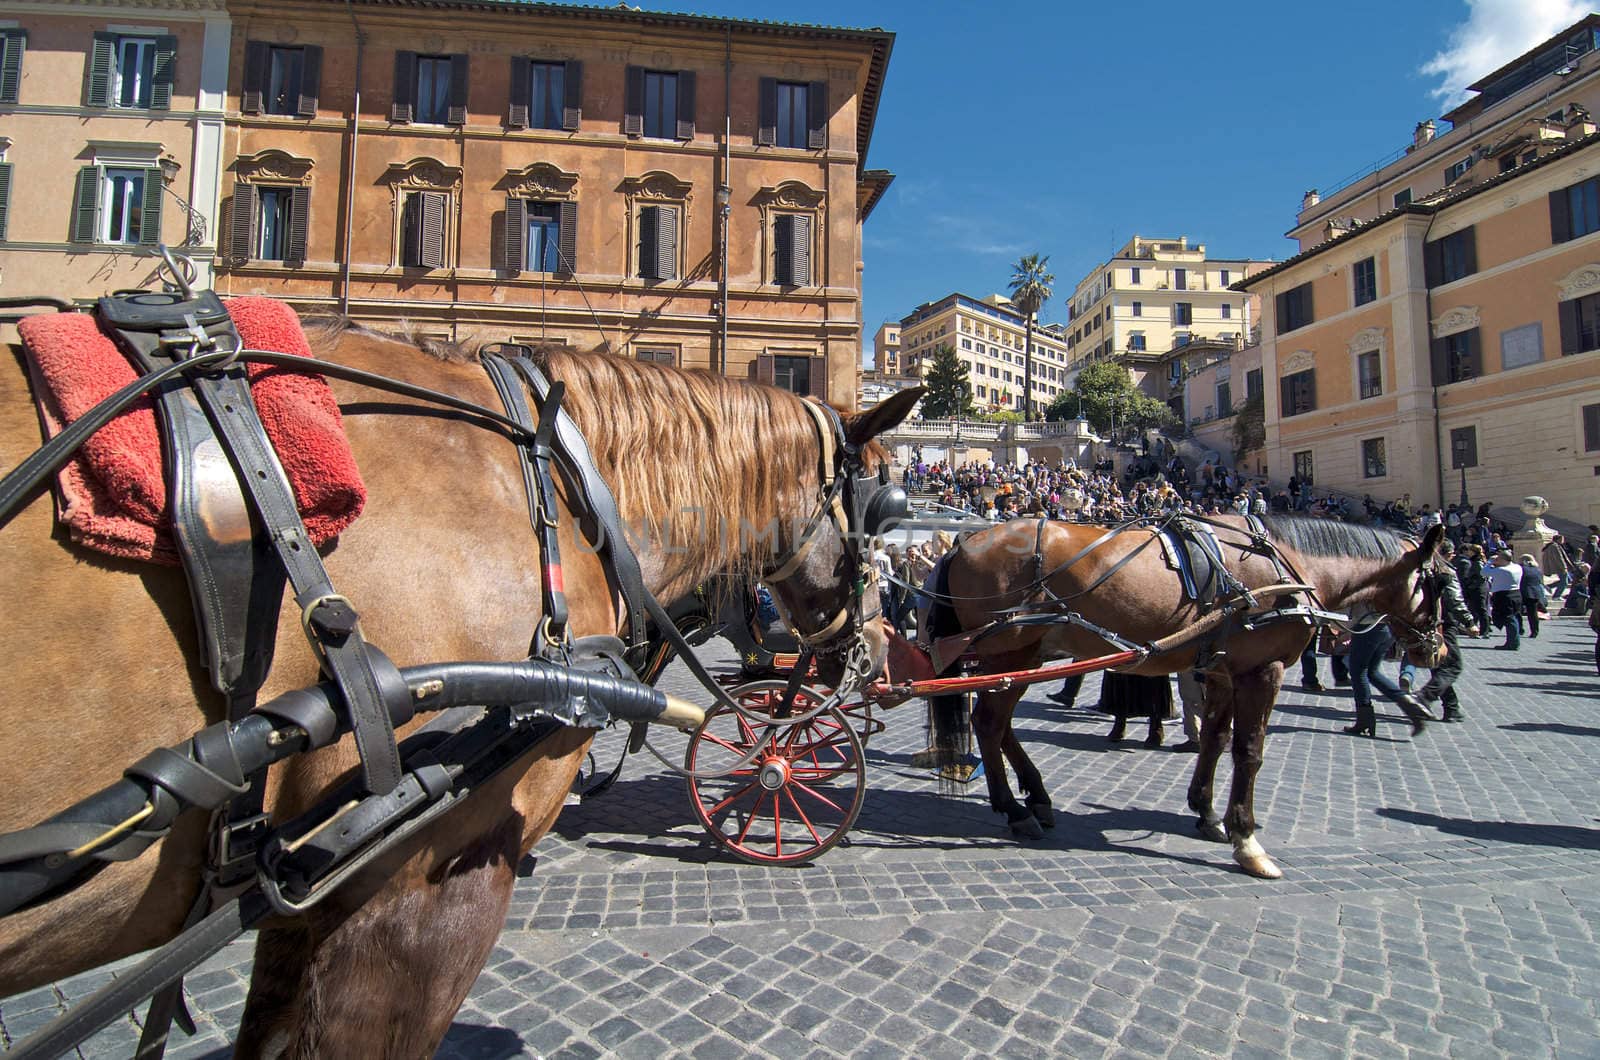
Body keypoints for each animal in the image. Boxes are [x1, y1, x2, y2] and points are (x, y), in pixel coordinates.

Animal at [940, 515, 1446, 877]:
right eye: (1441, 583)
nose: (1438, 648)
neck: (1284, 570)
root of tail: (965, 541)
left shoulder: (1221, 672)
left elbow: (1216, 741)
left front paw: (1207, 813)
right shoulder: (1263, 671)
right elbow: (1248, 751)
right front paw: (1247, 840)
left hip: (1022, 656)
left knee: (1000, 724)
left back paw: (1036, 799)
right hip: (1011, 651)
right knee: (989, 723)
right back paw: (1014, 809)